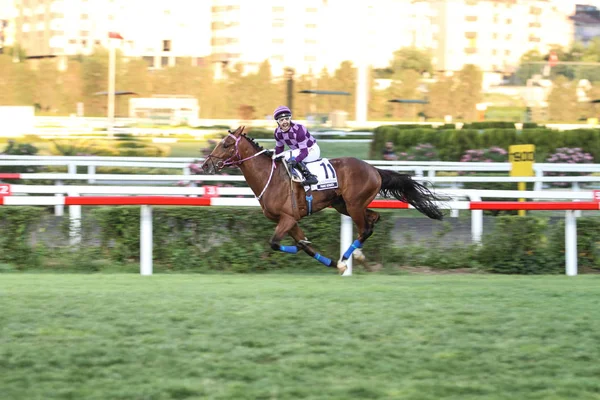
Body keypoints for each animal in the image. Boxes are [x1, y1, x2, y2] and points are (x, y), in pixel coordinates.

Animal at [202, 126, 446, 274]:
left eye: (225, 144)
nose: (205, 165)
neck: (269, 178)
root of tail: (374, 169)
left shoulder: (287, 218)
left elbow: (276, 243)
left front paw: (333, 261)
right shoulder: (289, 221)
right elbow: (305, 247)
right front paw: (329, 261)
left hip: (354, 204)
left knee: (366, 227)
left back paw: (348, 257)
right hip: (343, 205)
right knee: (373, 219)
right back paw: (356, 256)